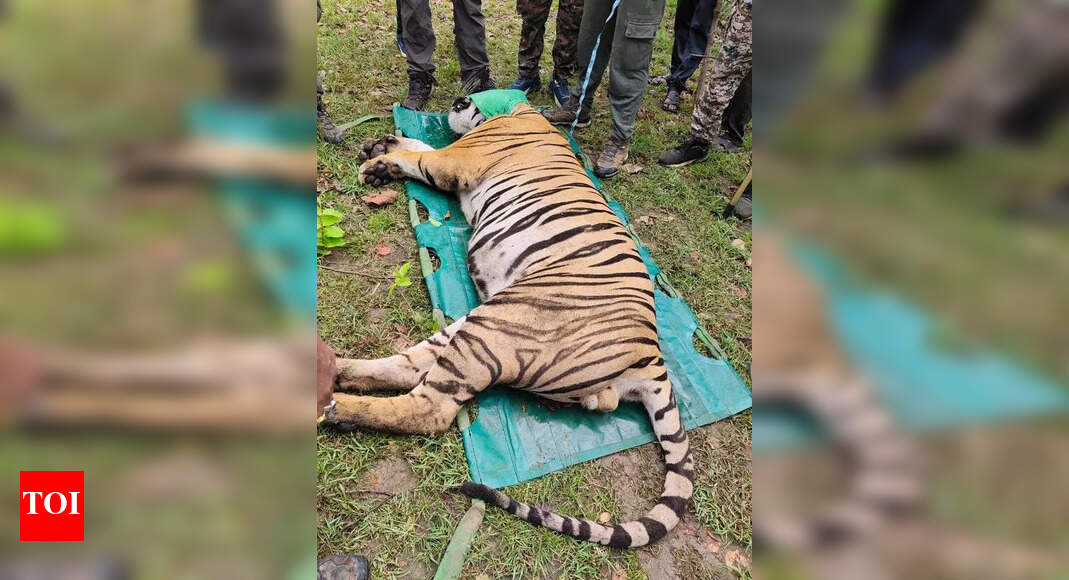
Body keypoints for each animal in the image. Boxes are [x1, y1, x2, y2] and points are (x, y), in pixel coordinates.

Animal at [320, 99, 693, 548]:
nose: (455, 103)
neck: (518, 109)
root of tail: (652, 353)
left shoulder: (456, 160)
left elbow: (422, 154)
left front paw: (380, 161)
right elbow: (418, 144)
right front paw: (381, 150)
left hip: (495, 327)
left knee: (430, 409)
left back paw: (335, 408)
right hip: (473, 323)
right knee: (407, 367)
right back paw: (334, 371)